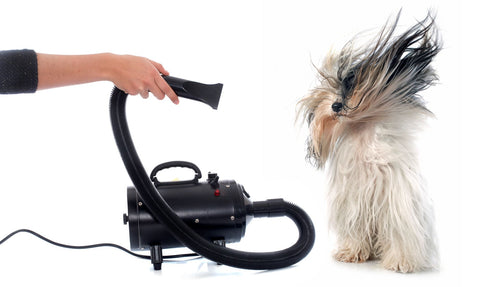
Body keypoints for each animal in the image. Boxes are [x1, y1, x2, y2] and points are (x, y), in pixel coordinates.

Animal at [298, 12, 440, 274]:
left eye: (353, 85)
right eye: (334, 85)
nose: (336, 106)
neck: (361, 132)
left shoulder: (397, 204)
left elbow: (400, 234)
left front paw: (400, 262)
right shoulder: (353, 204)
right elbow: (355, 232)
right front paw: (350, 253)